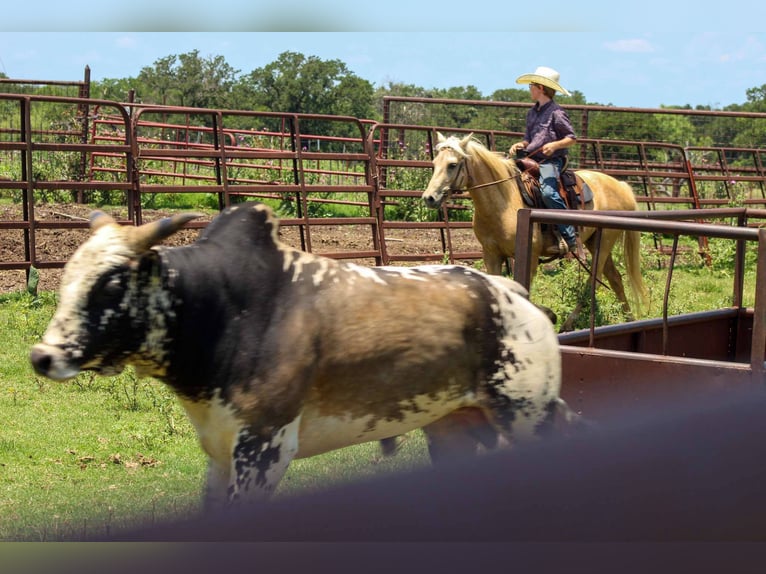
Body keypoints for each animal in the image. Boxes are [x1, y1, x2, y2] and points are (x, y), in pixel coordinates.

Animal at [421, 132, 648, 331]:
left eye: (452, 165)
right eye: (434, 163)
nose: (429, 198)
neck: (503, 201)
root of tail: (620, 185)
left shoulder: (529, 256)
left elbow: (523, 293)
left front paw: (548, 315)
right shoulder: (491, 255)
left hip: (605, 240)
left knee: (594, 282)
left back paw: (568, 324)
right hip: (595, 241)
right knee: (615, 278)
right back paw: (629, 319)